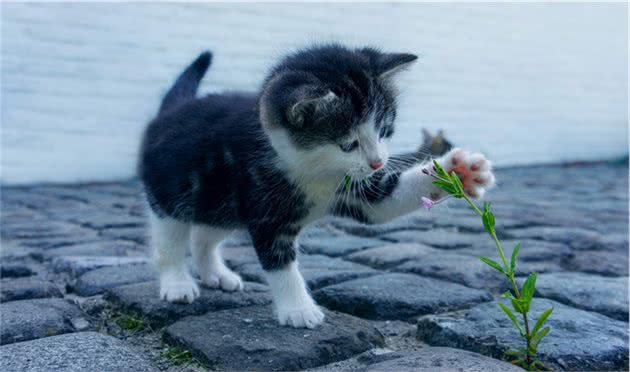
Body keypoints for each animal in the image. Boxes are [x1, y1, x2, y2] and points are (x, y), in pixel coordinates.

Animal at [141, 44, 496, 328]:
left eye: (384, 130)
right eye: (348, 144)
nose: (378, 162)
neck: (313, 170)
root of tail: (169, 112)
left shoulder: (355, 188)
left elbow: (384, 202)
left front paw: (459, 171)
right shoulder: (265, 208)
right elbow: (280, 262)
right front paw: (298, 309)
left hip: (221, 203)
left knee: (204, 235)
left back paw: (216, 273)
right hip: (171, 195)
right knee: (170, 241)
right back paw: (177, 283)